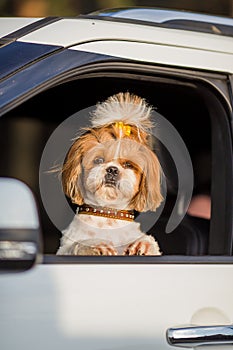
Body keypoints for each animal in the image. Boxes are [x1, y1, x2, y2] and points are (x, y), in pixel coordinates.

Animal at [56, 92, 163, 258]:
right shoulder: (65, 247)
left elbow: (149, 243)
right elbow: (78, 245)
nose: (112, 169)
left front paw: (142, 244)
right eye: (98, 160)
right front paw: (97, 245)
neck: (108, 214)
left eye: (128, 165)